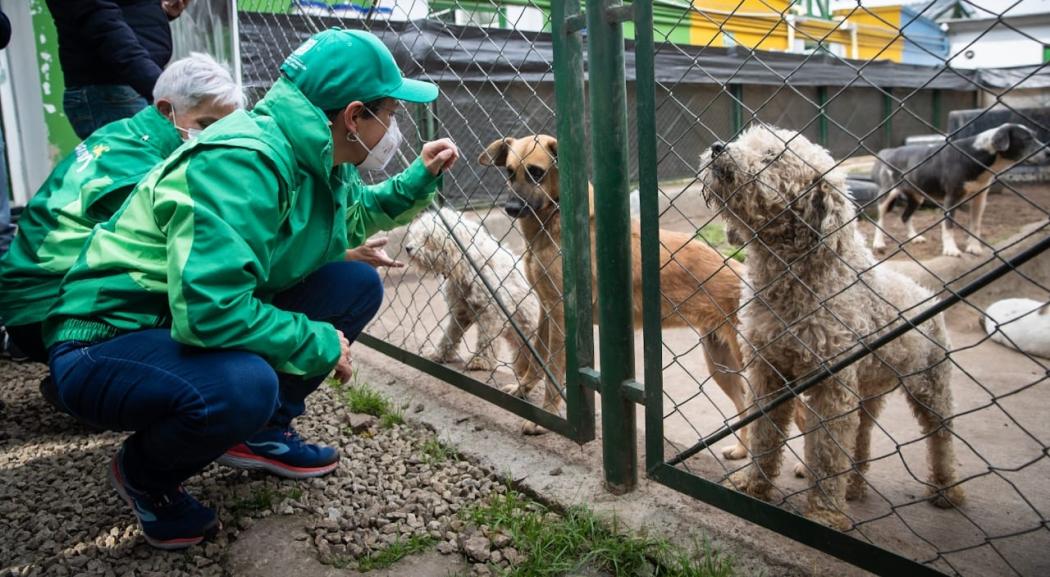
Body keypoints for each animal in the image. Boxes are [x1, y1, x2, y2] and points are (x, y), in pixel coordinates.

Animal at [403, 210, 546, 400]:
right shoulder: (460, 312)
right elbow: (450, 335)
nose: (408, 248)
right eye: (415, 234)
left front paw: (480, 361)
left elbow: (486, 339)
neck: (469, 264)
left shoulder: (492, 312)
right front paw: (439, 353)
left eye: (427, 237)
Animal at [480, 134, 751, 457]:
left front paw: (543, 418)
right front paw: (522, 390)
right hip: (721, 364)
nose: (510, 208)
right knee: (748, 407)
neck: (553, 222)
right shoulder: (547, 309)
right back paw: (743, 453)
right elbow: (537, 360)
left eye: (536, 172)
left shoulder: (560, 313)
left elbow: (553, 372)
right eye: (510, 172)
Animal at [701, 126, 961, 532]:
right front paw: (753, 484)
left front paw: (824, 513)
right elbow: (764, 434)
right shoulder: (768, 371)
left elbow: (826, 451)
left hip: (931, 386)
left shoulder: (831, 386)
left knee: (941, 437)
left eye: (774, 156)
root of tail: (924, 291)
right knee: (862, 436)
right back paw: (853, 488)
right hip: (868, 390)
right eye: (745, 140)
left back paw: (947, 490)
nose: (717, 147)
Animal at [869, 124, 1050, 258]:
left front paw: (974, 247)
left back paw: (915, 237)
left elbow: (975, 225)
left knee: (905, 216)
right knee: (880, 220)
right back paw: (878, 243)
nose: (1048, 151)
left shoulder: (980, 198)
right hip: (887, 195)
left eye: (1035, 135)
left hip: (917, 197)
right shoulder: (951, 197)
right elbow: (948, 225)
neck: (977, 153)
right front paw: (951, 249)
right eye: (1026, 138)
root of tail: (888, 151)